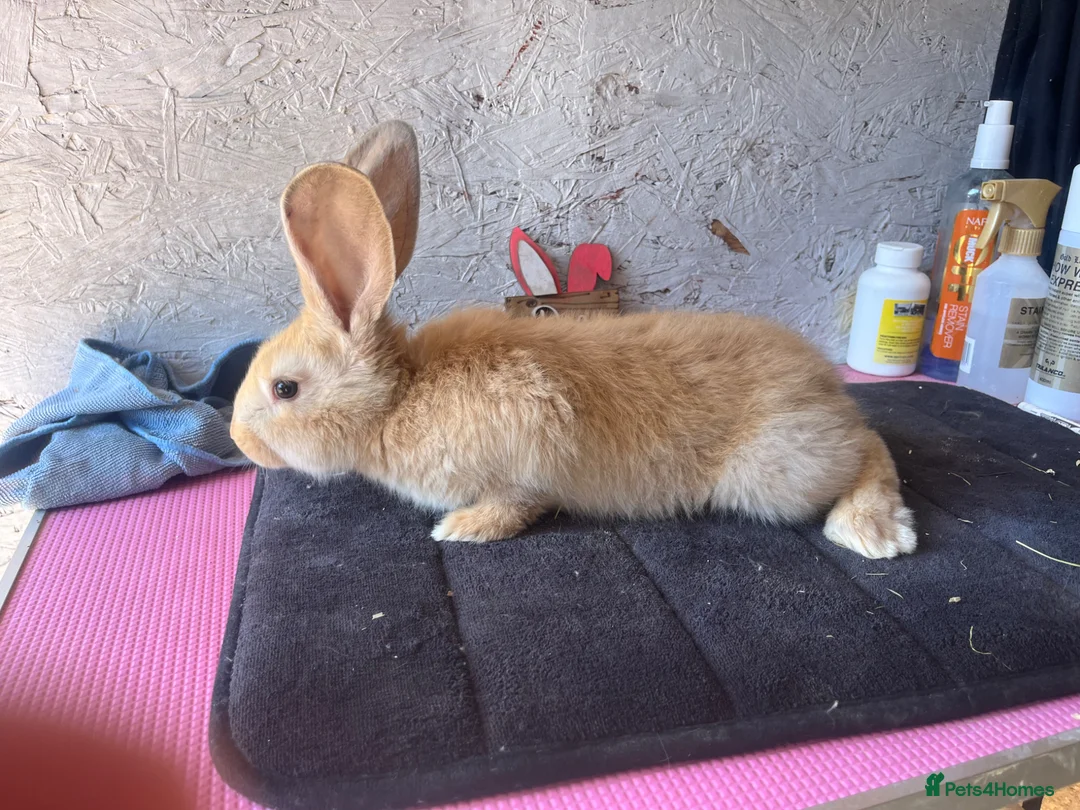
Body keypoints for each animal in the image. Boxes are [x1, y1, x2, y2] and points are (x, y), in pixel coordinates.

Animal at [230, 121, 917, 560]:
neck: (401, 396)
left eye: (285, 389)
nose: (239, 442)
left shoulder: (526, 450)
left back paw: (873, 533)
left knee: (869, 451)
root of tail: (827, 389)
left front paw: (461, 529)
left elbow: (513, 503)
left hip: (775, 474)